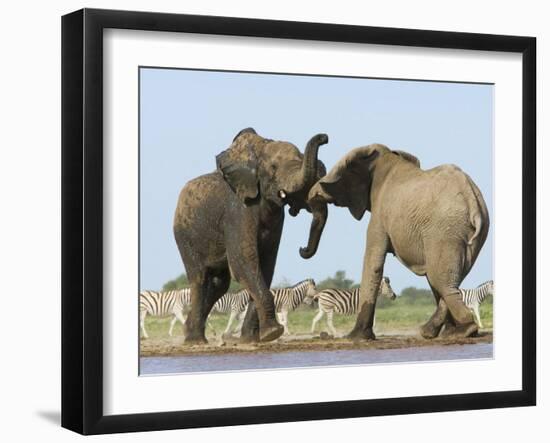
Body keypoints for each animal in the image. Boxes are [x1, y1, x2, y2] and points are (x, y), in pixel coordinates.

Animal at [175, 128, 330, 344]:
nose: (302, 249)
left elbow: (266, 265)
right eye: (273, 167)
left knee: (218, 285)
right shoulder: (237, 211)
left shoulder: (276, 217)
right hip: (185, 236)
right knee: (200, 278)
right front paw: (273, 333)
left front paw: (252, 340)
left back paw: (191, 333)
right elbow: (244, 262)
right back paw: (195, 341)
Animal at [306, 144, 492, 342]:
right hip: (469, 233)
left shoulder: (379, 214)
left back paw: (462, 330)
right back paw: (440, 332)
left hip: (445, 229)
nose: (302, 249)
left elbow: (373, 261)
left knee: (440, 279)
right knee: (445, 277)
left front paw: (355, 337)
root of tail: (471, 196)